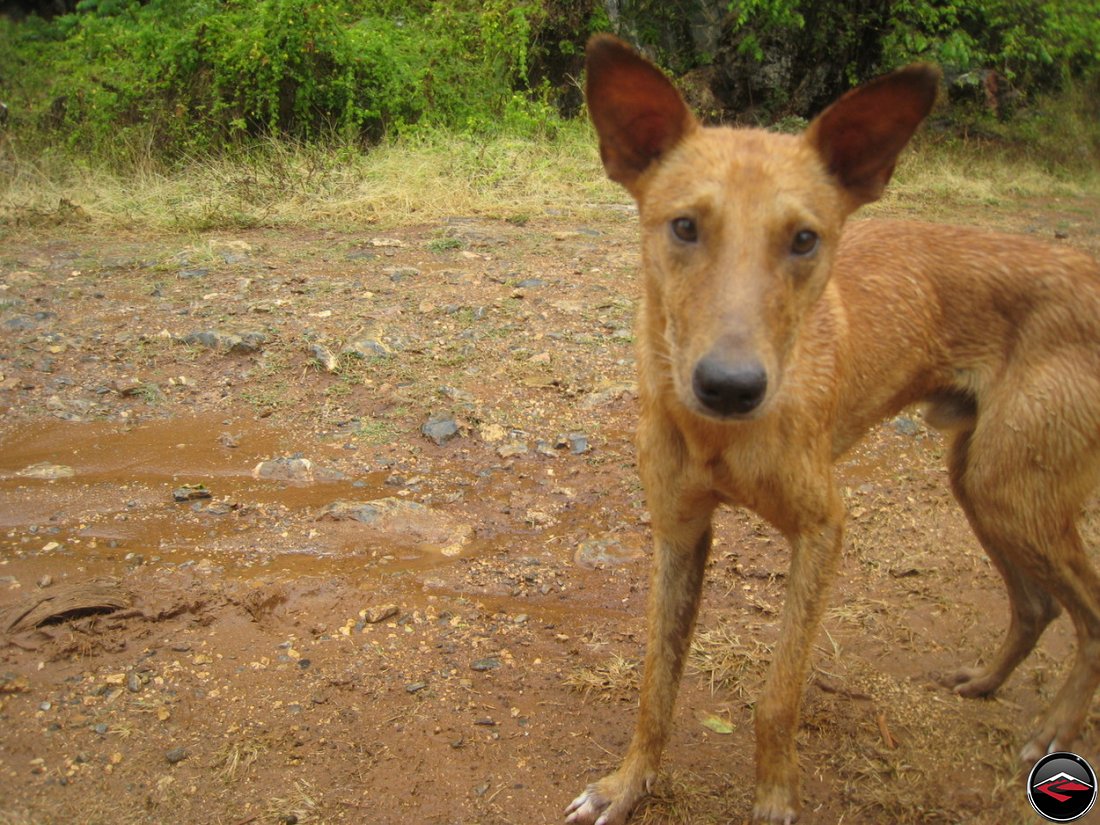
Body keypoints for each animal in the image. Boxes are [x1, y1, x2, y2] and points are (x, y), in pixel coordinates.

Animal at [567, 33, 1100, 825]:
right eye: (685, 226)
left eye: (805, 240)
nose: (730, 387)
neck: (719, 439)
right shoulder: (679, 530)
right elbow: (655, 684)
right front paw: (627, 785)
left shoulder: (823, 526)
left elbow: (777, 698)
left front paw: (774, 800)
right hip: (982, 479)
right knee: (1037, 604)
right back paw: (986, 684)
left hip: (1016, 487)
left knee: (1090, 615)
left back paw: (1055, 729)